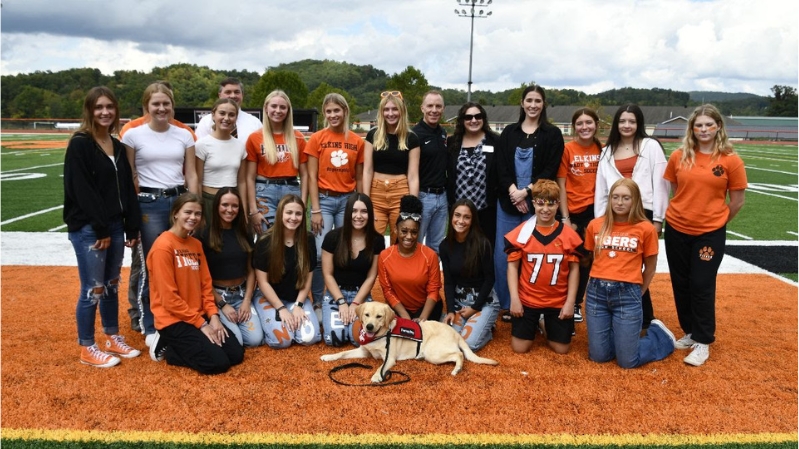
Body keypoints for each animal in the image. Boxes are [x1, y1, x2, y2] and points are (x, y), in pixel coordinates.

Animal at [320, 300, 496, 382]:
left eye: (379, 316)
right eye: (366, 315)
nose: (369, 326)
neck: (379, 335)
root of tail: (454, 332)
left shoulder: (389, 358)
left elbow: (380, 368)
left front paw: (377, 376)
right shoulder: (363, 351)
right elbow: (342, 353)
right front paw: (328, 356)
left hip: (433, 353)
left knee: (459, 354)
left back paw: (457, 369)